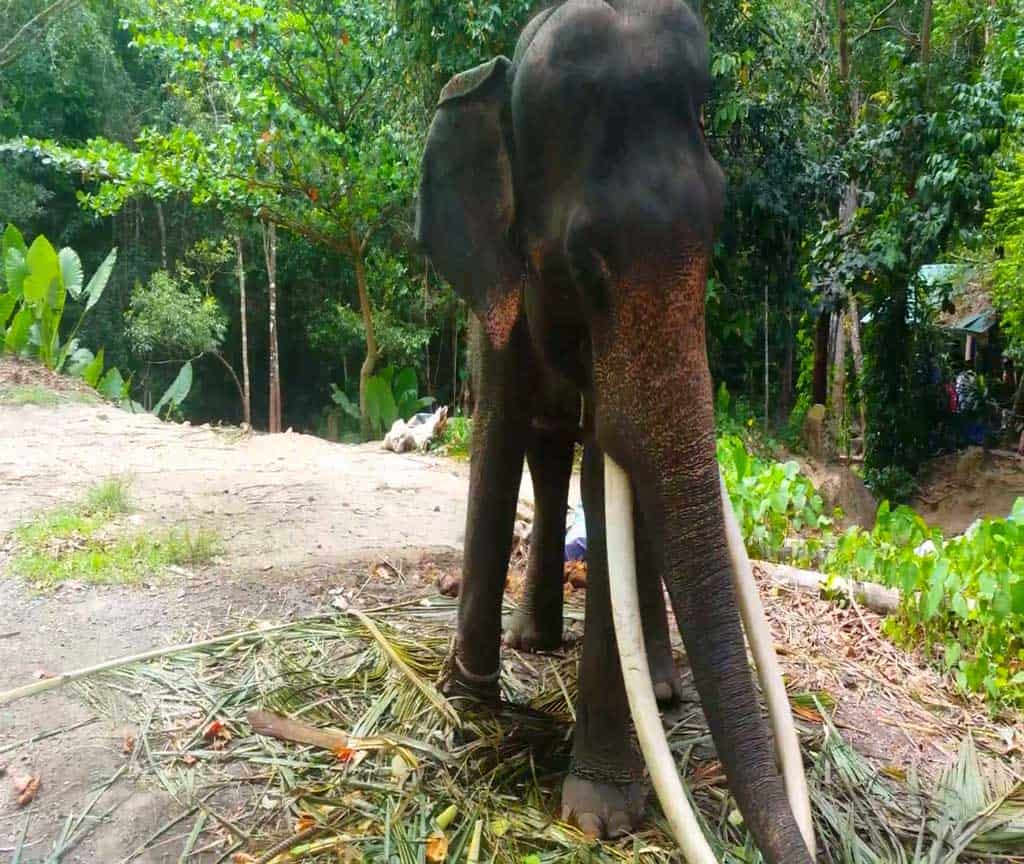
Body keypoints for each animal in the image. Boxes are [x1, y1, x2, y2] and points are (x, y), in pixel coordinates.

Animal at [415, 1, 815, 864]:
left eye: (716, 237)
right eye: (584, 261)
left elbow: (609, 475)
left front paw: (599, 812)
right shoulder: (492, 297)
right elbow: (495, 443)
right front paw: (469, 702)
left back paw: (657, 688)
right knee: (541, 451)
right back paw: (532, 642)